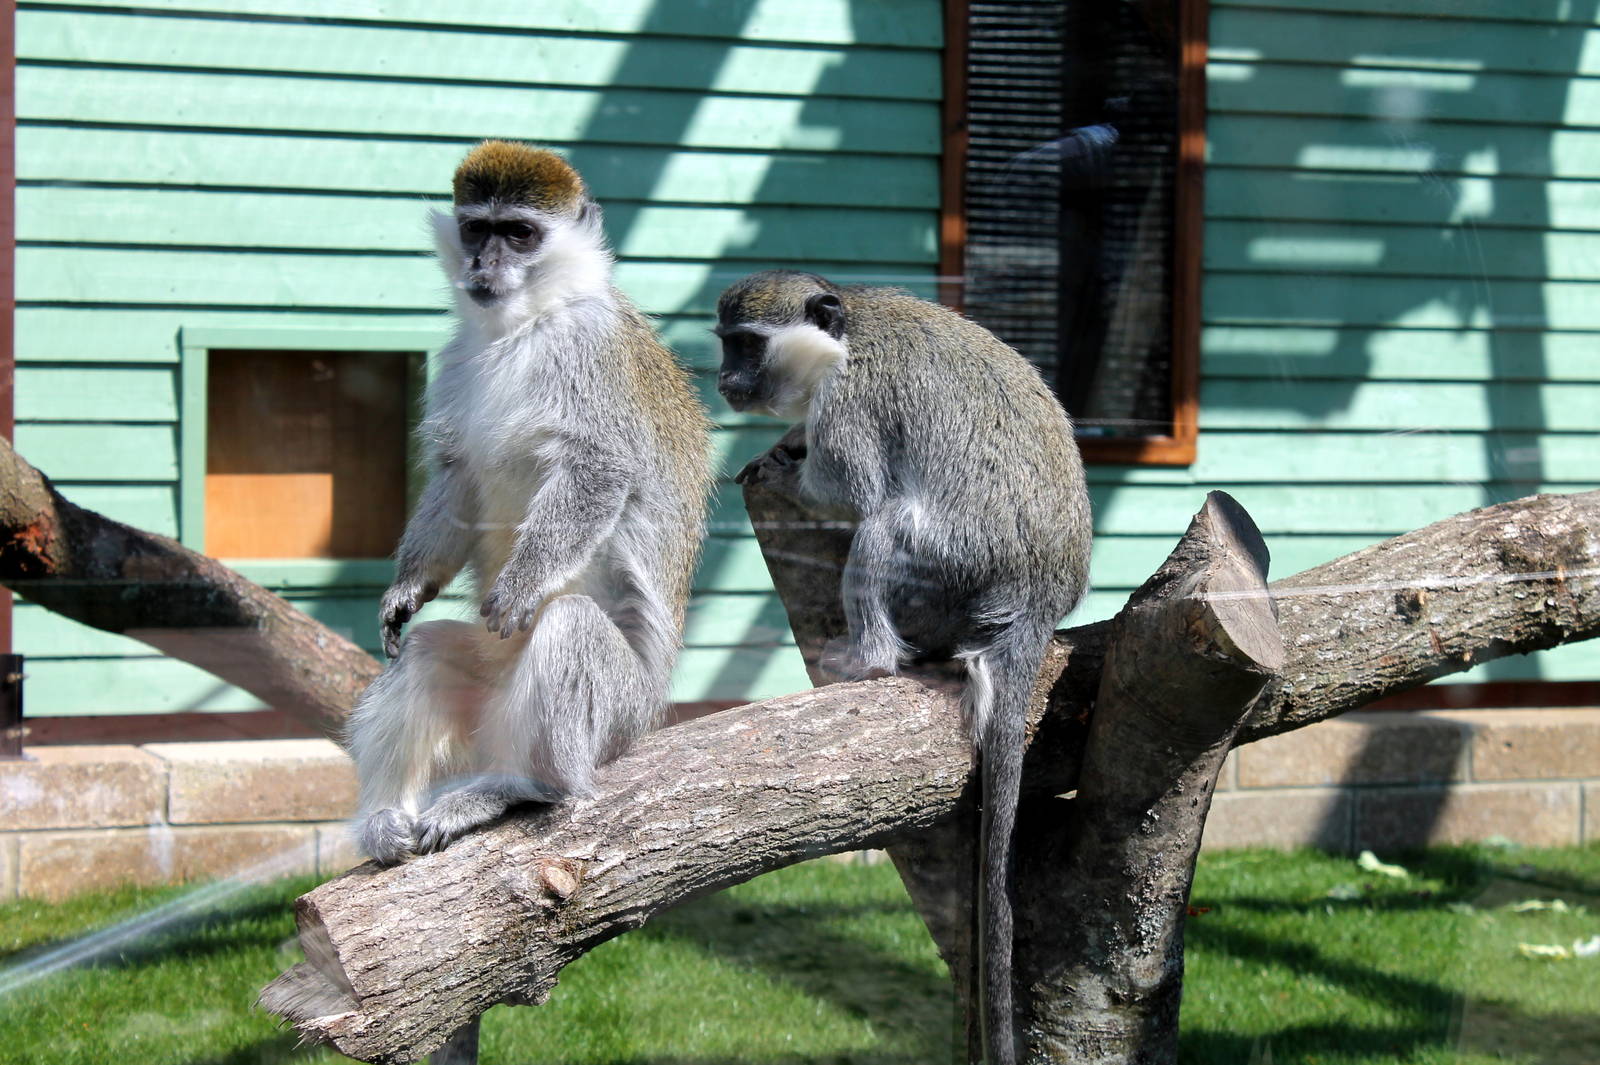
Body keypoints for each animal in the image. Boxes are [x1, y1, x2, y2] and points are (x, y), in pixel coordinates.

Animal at [346, 141, 713, 865]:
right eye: (476, 230)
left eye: (519, 233)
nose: (483, 266)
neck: (525, 325)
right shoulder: (457, 361)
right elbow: (458, 476)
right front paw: (406, 588)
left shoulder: (589, 353)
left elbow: (600, 470)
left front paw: (521, 582)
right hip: (486, 691)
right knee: (424, 651)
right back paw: (383, 818)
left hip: (619, 716)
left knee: (570, 625)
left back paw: (526, 786)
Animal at [716, 271, 1090, 1065]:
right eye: (725, 343)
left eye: (747, 345)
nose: (726, 380)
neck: (847, 328)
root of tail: (1041, 594)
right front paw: (783, 445)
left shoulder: (848, 403)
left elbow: (853, 493)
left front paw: (787, 470)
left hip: (954, 563)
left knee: (883, 523)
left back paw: (870, 659)